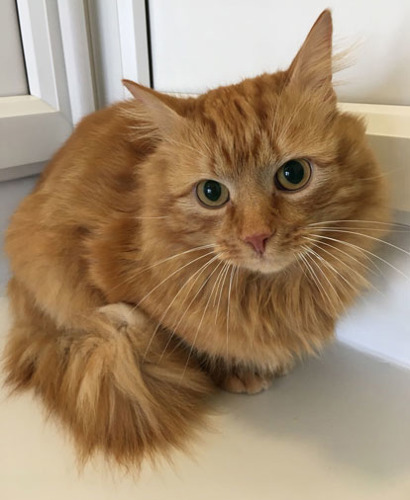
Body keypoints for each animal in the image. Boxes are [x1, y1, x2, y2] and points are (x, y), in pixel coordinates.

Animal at [2, 9, 388, 470]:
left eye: (293, 174)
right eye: (211, 193)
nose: (257, 237)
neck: (267, 294)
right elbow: (186, 338)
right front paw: (234, 369)